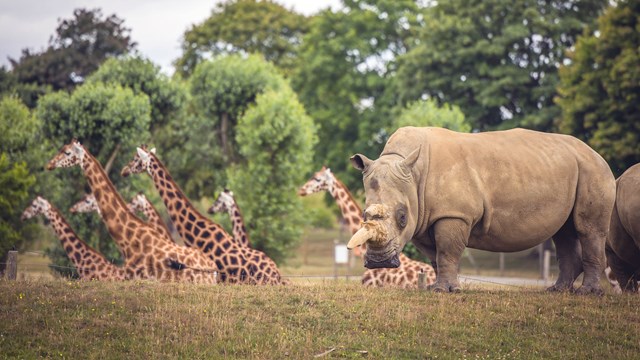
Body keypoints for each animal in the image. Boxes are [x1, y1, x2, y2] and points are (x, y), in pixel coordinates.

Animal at [348, 128, 616, 294]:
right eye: (363, 215)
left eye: (402, 217)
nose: (379, 262)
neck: (413, 174)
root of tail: (596, 153)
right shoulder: (424, 218)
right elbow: (435, 256)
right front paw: (438, 288)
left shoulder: (453, 213)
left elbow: (447, 251)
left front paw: (445, 291)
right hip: (570, 170)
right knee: (564, 232)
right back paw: (557, 291)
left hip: (593, 170)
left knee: (588, 230)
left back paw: (587, 294)